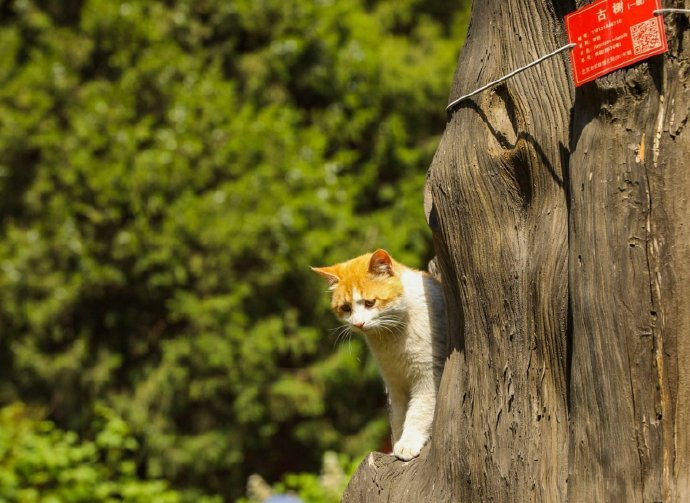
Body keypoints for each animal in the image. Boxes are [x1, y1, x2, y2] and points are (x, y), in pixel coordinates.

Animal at [312, 248, 446, 460]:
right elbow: (399, 417)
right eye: (346, 308)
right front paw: (396, 445)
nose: (358, 323)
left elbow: (418, 412)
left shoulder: (428, 376)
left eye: (369, 303)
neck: (391, 338)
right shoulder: (394, 383)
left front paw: (407, 444)